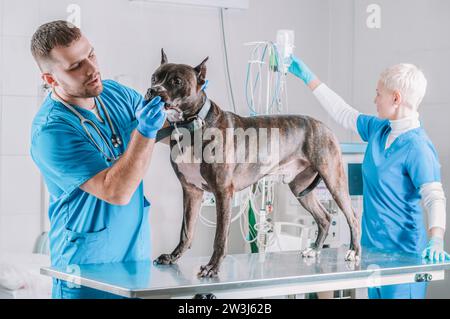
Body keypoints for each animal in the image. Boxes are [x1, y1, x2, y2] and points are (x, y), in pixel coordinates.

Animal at [149, 49, 360, 278]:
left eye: (176, 81)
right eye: (154, 78)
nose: (152, 91)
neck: (191, 126)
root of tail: (324, 126)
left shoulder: (223, 192)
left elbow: (220, 236)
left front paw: (213, 266)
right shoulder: (191, 191)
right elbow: (186, 230)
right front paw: (173, 256)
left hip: (334, 180)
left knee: (353, 216)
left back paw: (353, 251)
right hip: (300, 187)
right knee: (324, 217)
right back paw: (314, 249)